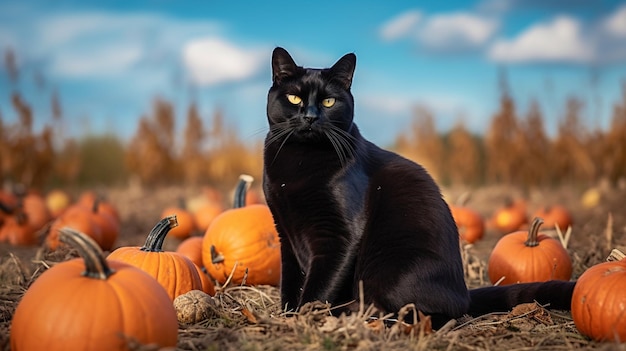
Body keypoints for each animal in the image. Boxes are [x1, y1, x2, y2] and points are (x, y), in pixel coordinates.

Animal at [260, 47, 572, 330]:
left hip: (395, 269)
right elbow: (292, 279)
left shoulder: (339, 234)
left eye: (328, 101)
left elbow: (321, 285)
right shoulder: (285, 232)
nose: (311, 117)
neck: (300, 161)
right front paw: (287, 315)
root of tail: (464, 293)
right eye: (294, 98)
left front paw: (306, 316)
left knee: (438, 315)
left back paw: (370, 317)